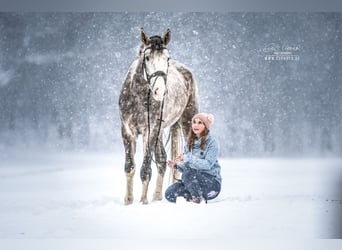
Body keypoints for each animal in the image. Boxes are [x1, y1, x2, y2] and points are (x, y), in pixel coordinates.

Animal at [119, 28, 198, 204]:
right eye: (147, 57)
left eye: (167, 58)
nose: (160, 91)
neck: (139, 96)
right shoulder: (127, 131)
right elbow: (130, 167)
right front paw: (128, 201)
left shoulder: (150, 130)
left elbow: (146, 169)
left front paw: (143, 201)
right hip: (161, 131)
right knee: (162, 160)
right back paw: (157, 197)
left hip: (187, 121)